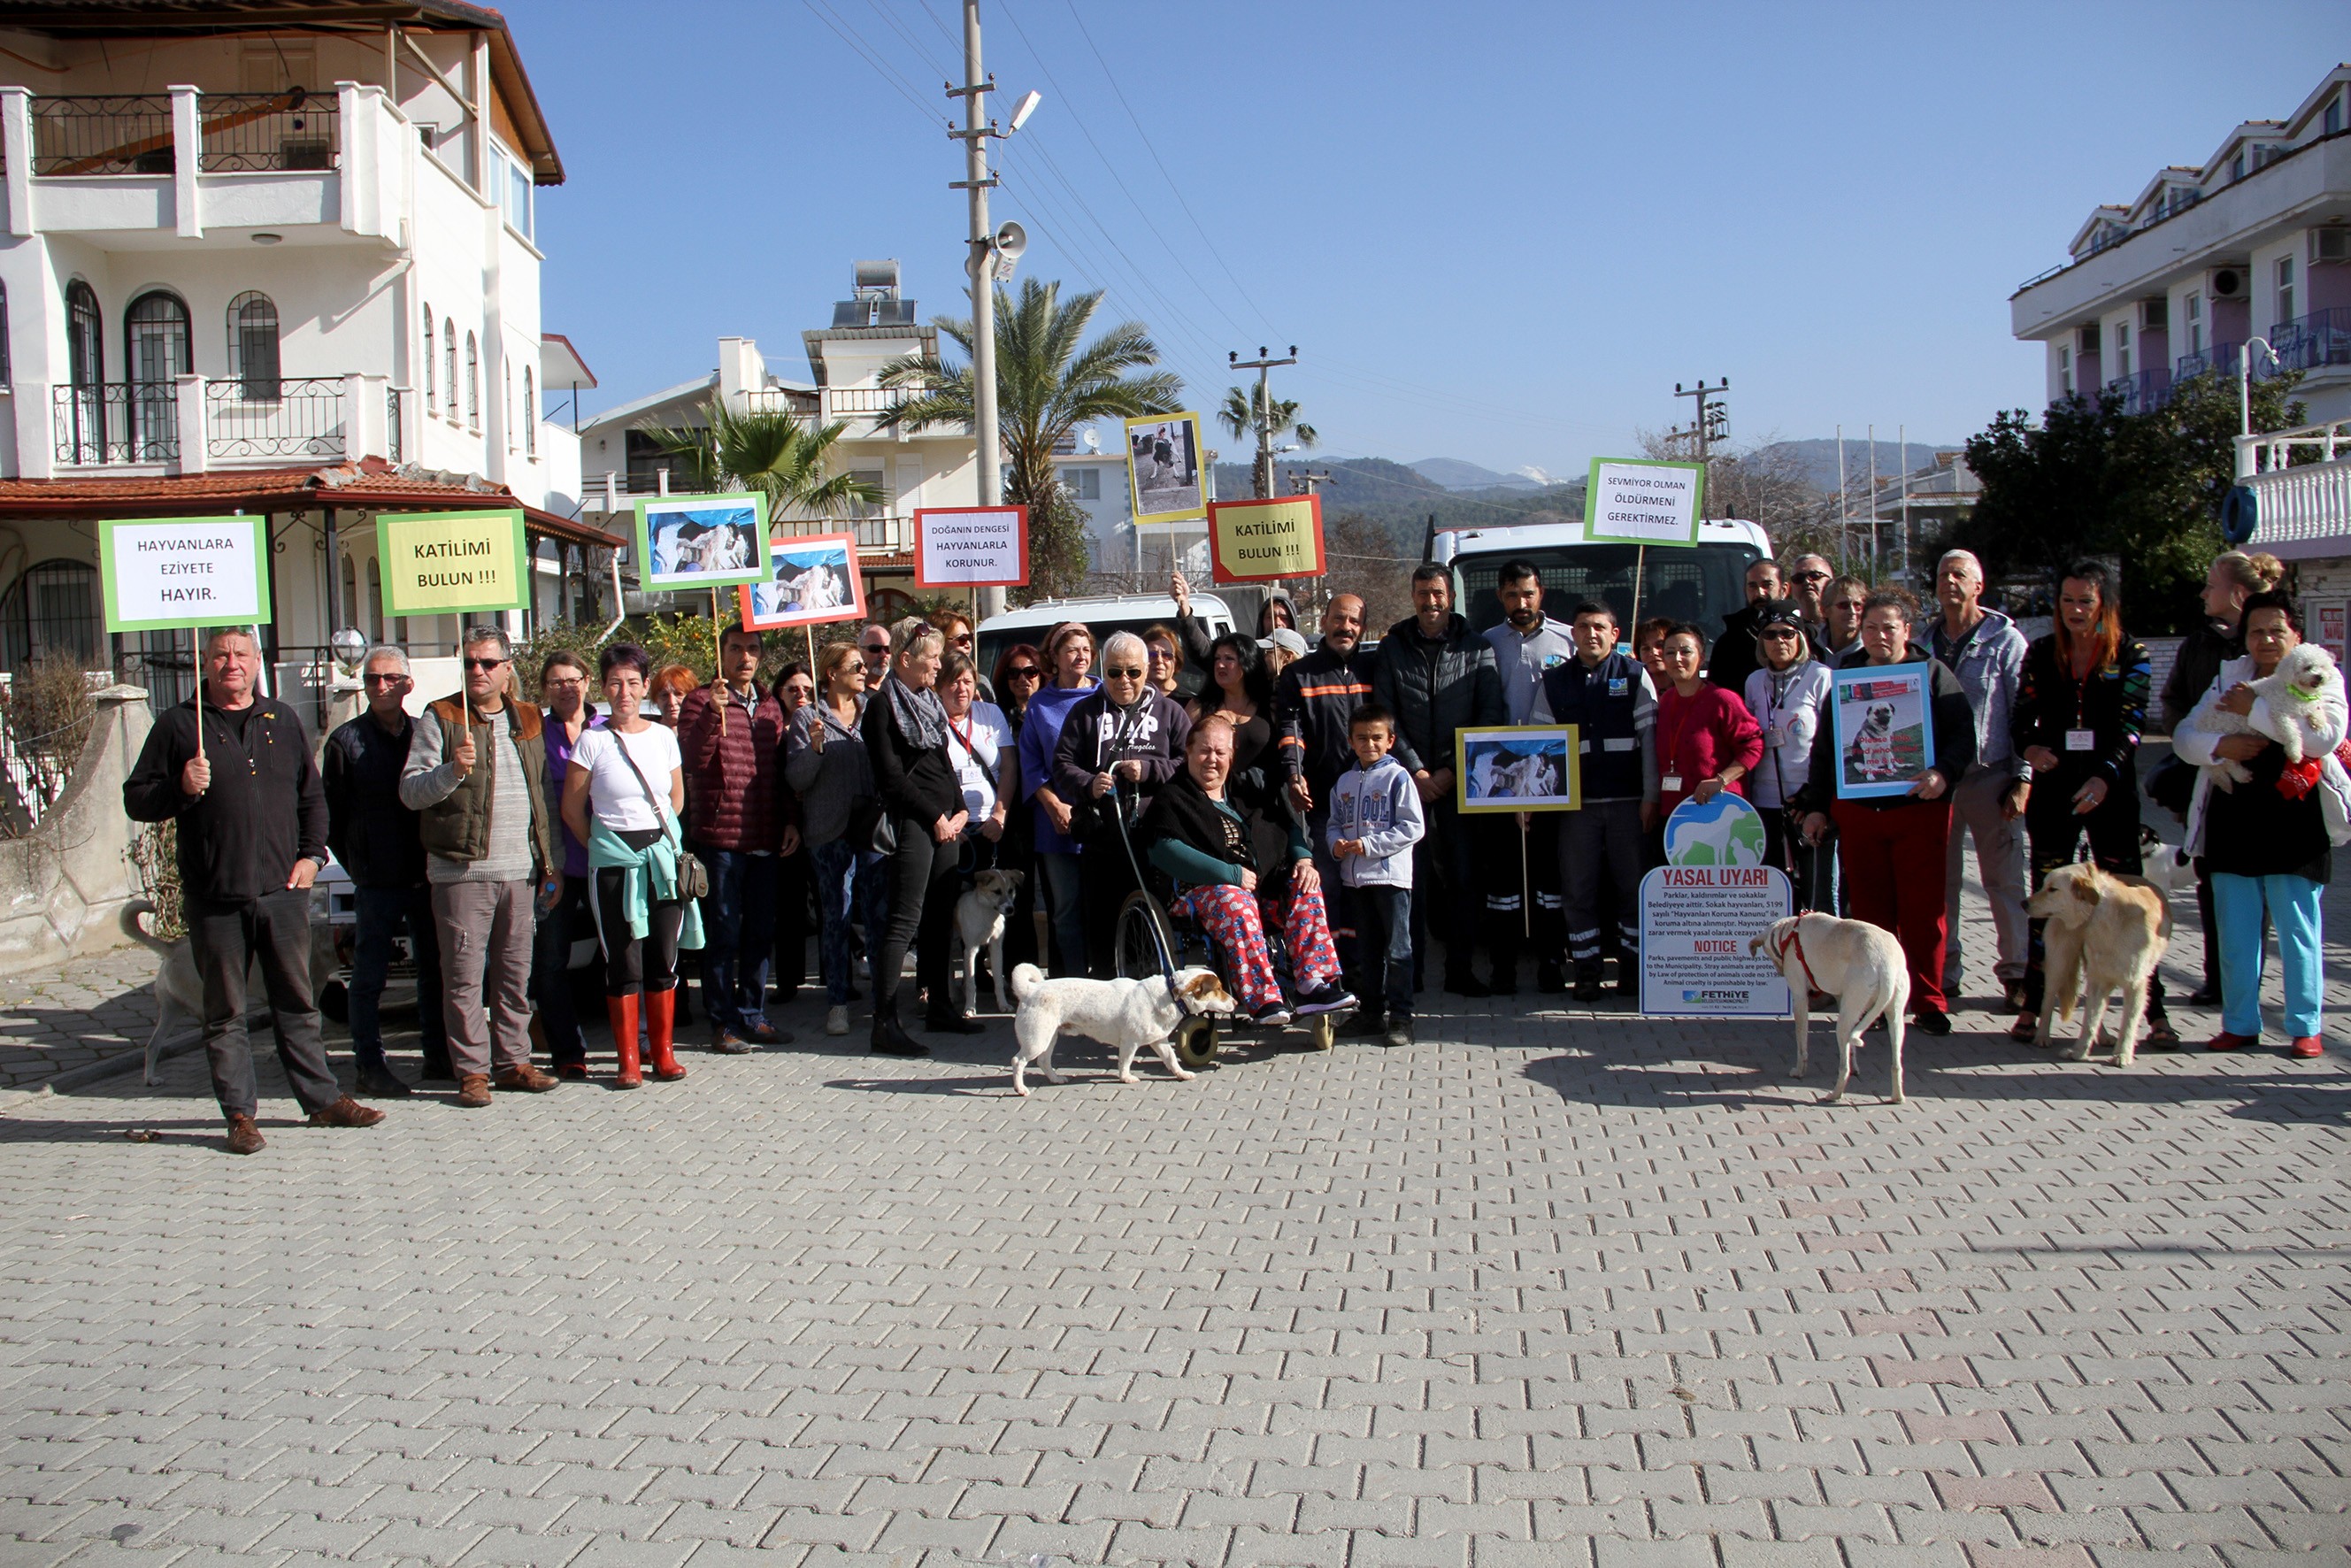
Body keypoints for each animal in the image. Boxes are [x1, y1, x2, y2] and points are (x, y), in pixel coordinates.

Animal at [954, 869, 1029, 1019]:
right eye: (997, 891)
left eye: (1011, 890)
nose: (1010, 909)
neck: (987, 913)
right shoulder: (970, 950)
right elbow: (972, 983)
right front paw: (970, 1008)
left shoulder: (996, 949)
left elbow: (998, 981)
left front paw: (1003, 1005)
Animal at [1001, 964, 1241, 1100]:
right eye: (1219, 989)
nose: (1237, 1002)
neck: (1170, 996)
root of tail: (1031, 989)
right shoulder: (1130, 1042)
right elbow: (1125, 1062)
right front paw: (1126, 1078)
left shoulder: (1159, 1040)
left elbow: (1171, 1059)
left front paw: (1181, 1074)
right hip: (1037, 1039)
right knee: (1017, 1061)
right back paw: (1020, 1089)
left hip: (1049, 1037)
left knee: (1043, 1062)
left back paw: (1055, 1079)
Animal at [1748, 907, 1909, 1104]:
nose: (1780, 971)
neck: (1788, 931)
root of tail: (1885, 964)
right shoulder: (1840, 999)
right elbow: (1851, 1050)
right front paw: (1856, 1066)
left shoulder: (1800, 999)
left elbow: (1801, 1044)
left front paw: (1799, 1071)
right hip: (1892, 1019)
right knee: (1896, 1065)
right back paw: (1897, 1097)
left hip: (1843, 1022)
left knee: (1844, 1068)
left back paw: (1835, 1095)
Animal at [2022, 860, 2163, 1067]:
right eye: (2044, 885)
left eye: (2053, 889)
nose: (2023, 903)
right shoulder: (2098, 979)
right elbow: (2089, 1020)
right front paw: (2079, 1051)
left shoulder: (2134, 985)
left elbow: (2126, 1023)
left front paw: (2121, 1054)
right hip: (2059, 963)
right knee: (2048, 1000)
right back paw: (2042, 1036)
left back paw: (2103, 1037)